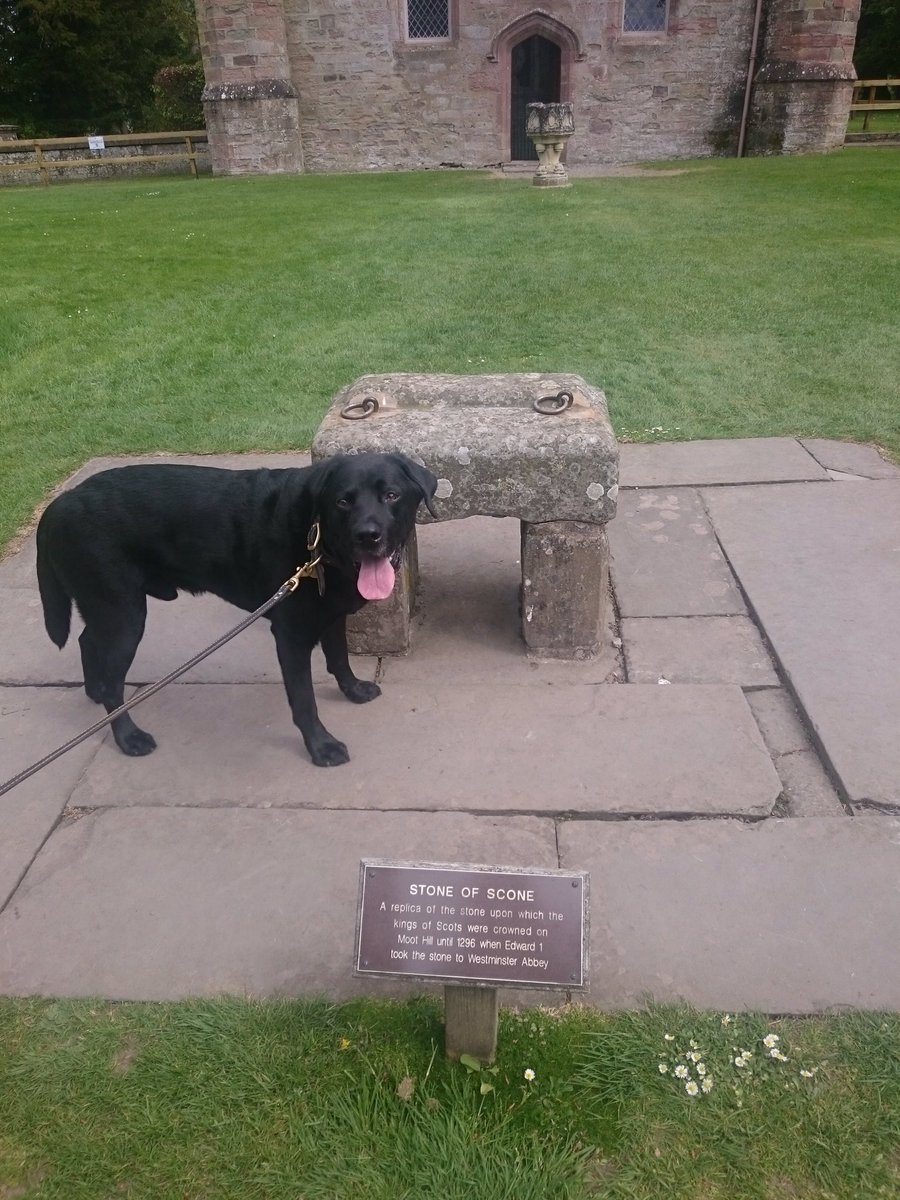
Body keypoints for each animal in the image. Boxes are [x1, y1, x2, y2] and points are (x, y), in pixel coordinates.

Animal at [37, 453, 439, 763]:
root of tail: (61, 501)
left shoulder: (331, 613)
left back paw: (95, 692)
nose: (368, 535)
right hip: (124, 615)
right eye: (343, 501)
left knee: (88, 643)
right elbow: (304, 699)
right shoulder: (290, 635)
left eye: (391, 495)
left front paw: (353, 690)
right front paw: (321, 746)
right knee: (112, 676)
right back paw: (127, 736)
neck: (318, 543)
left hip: (106, 608)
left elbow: (339, 657)